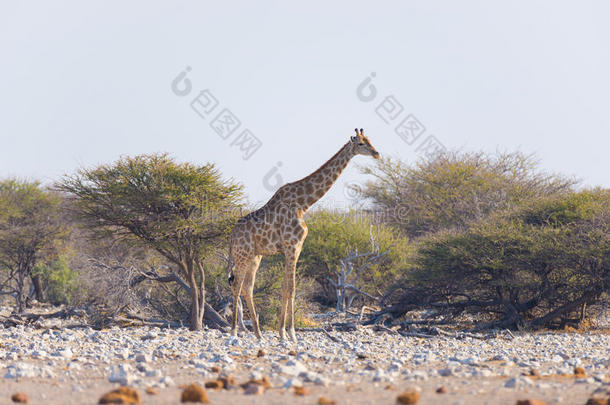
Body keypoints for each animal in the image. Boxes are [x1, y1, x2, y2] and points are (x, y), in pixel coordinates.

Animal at [226, 128, 378, 340]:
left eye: (370, 140)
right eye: (361, 144)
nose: (377, 153)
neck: (303, 204)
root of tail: (231, 236)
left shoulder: (296, 248)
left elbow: (288, 288)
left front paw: (284, 333)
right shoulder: (292, 247)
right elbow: (290, 289)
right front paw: (289, 333)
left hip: (256, 256)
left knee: (247, 288)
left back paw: (258, 334)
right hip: (243, 254)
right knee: (237, 285)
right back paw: (233, 331)